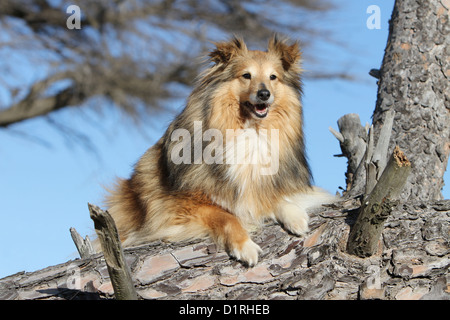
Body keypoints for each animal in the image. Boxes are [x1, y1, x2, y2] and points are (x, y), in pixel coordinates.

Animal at [105, 35, 334, 266]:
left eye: (273, 77)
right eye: (246, 75)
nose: (264, 94)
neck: (250, 130)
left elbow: (269, 196)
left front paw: (295, 215)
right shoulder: (177, 207)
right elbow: (226, 216)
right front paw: (245, 246)